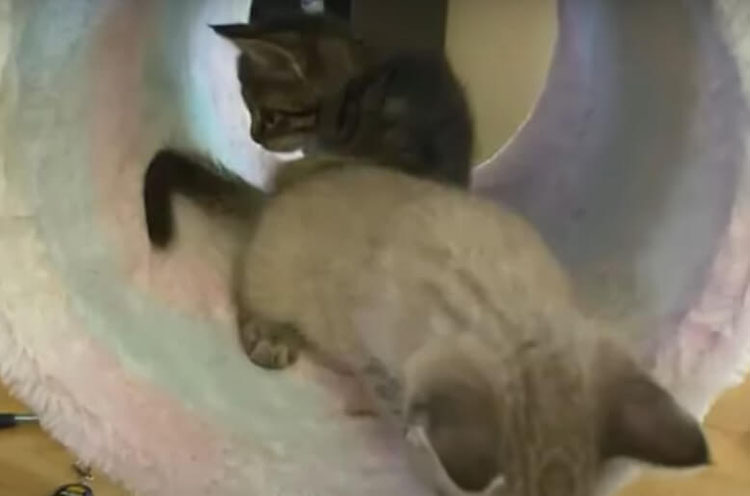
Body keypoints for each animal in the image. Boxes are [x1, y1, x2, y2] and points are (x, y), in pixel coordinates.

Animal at [143, 154, 709, 496]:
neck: (507, 318)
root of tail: (271, 205)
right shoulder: (379, 356)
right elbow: (403, 412)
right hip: (276, 282)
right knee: (246, 289)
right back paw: (271, 335)